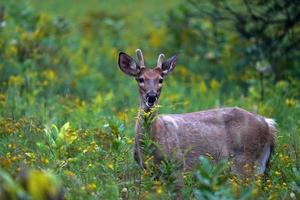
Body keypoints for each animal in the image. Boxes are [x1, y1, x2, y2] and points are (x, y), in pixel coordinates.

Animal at [118, 49, 276, 177]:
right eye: (140, 79)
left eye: (161, 80)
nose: (151, 96)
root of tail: (268, 124)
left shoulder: (178, 164)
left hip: (246, 160)